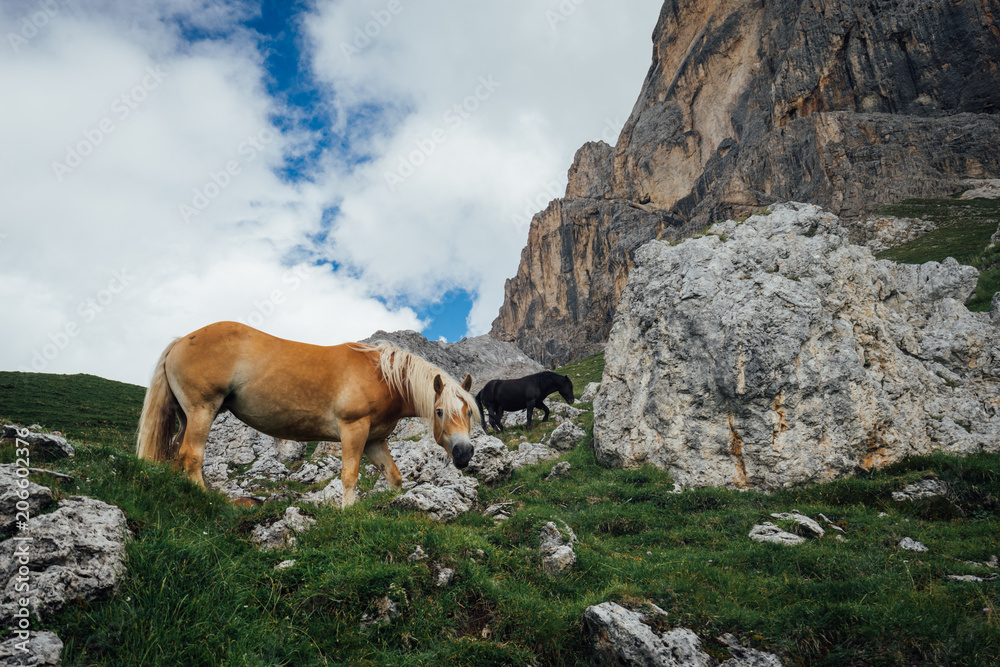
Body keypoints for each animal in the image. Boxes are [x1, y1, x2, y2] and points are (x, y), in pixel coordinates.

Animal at [136, 321, 479, 507]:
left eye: (468, 412)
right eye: (439, 411)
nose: (464, 453)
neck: (382, 376)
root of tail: (180, 341)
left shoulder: (374, 440)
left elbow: (393, 477)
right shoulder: (354, 430)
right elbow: (349, 475)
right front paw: (347, 512)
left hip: (187, 416)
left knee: (176, 453)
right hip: (203, 409)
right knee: (192, 455)